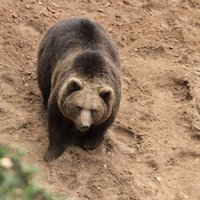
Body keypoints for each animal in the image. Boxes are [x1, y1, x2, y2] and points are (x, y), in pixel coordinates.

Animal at [37, 18, 121, 162]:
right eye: (78, 107)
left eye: (94, 110)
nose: (84, 125)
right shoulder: (59, 99)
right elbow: (56, 125)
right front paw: (52, 153)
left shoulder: (112, 97)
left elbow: (104, 124)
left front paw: (89, 143)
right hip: (47, 54)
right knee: (44, 81)